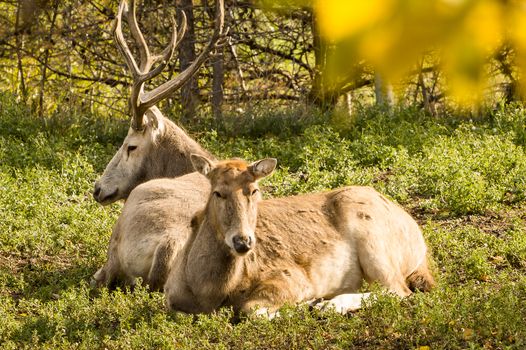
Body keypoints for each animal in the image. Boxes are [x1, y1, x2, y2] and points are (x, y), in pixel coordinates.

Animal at [166, 156, 438, 318]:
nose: (243, 241)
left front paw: (308, 304)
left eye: (254, 190)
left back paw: (330, 305)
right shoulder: (170, 299)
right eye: (217, 193)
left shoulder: (291, 277)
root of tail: (417, 234)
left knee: (399, 290)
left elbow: (249, 310)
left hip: (375, 241)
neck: (207, 291)